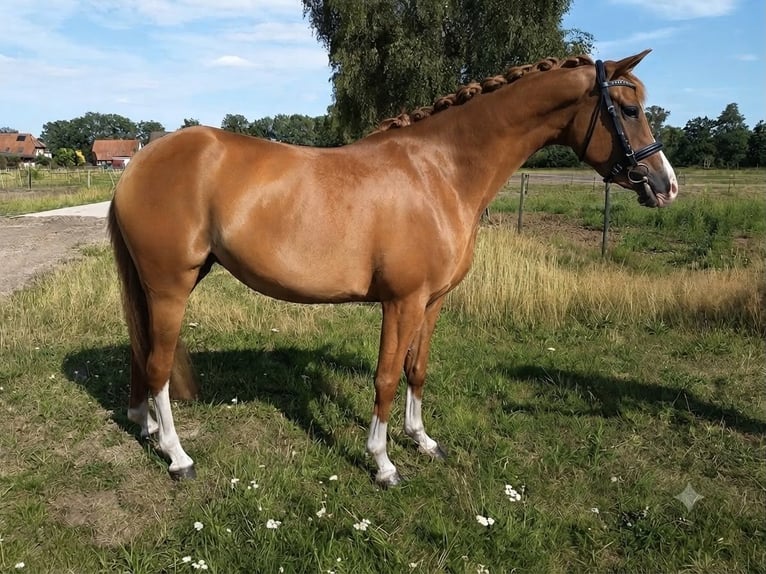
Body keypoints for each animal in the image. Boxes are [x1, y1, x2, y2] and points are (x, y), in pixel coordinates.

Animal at [109, 50, 678, 486]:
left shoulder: (432, 300)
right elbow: (384, 377)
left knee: (143, 354)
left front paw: (422, 440)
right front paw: (383, 463)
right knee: (158, 364)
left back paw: (146, 427)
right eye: (628, 109)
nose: (666, 185)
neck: (440, 171)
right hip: (170, 286)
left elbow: (415, 368)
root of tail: (138, 164)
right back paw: (177, 456)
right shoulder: (400, 301)